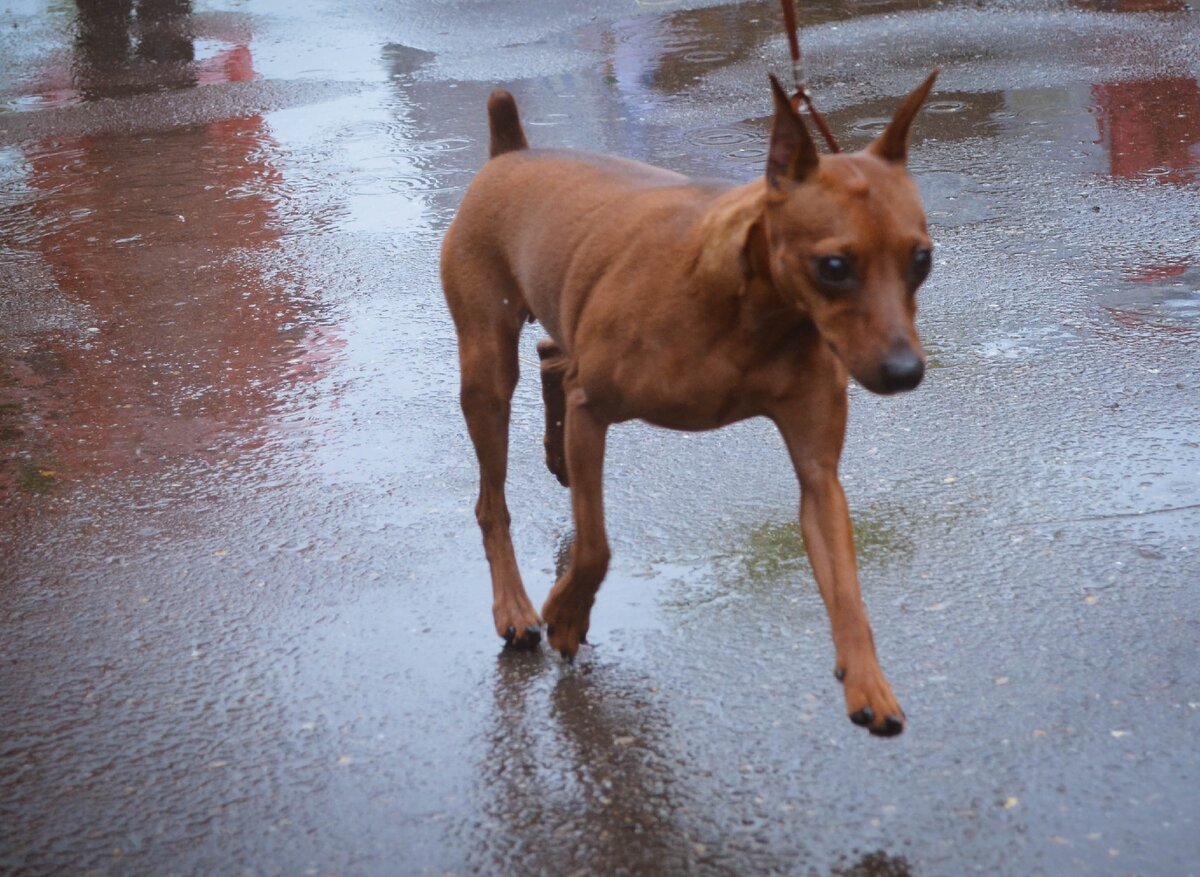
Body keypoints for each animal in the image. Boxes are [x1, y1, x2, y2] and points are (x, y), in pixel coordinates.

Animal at [441, 71, 939, 737]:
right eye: (834, 266)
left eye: (922, 260)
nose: (906, 373)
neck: (751, 313)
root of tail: (511, 152)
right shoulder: (594, 411)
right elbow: (596, 545)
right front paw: (566, 615)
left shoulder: (818, 474)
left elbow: (847, 587)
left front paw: (868, 681)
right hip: (487, 373)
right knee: (491, 500)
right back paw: (515, 607)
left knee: (553, 356)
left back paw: (559, 460)